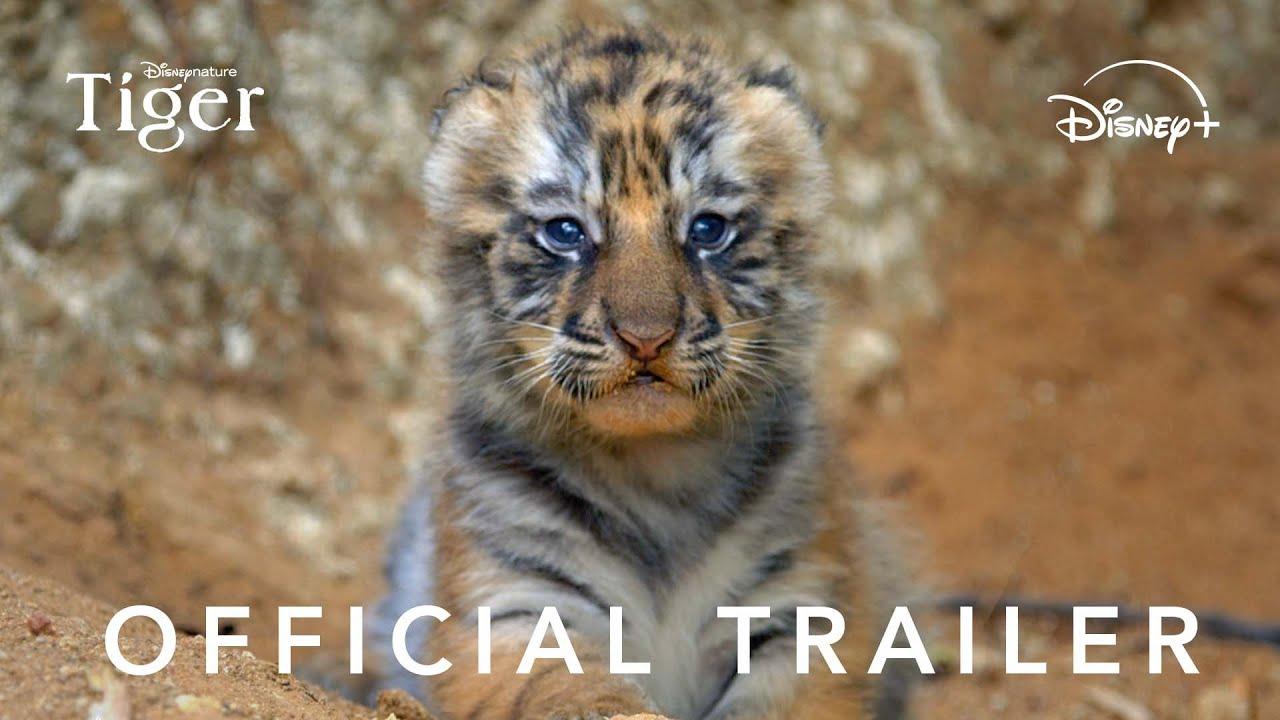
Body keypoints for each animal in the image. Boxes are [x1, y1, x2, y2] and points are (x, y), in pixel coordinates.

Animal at [373, 25, 913, 720]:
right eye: (566, 232)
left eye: (707, 229)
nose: (646, 337)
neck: (654, 472)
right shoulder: (512, 602)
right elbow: (579, 692)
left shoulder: (804, 606)